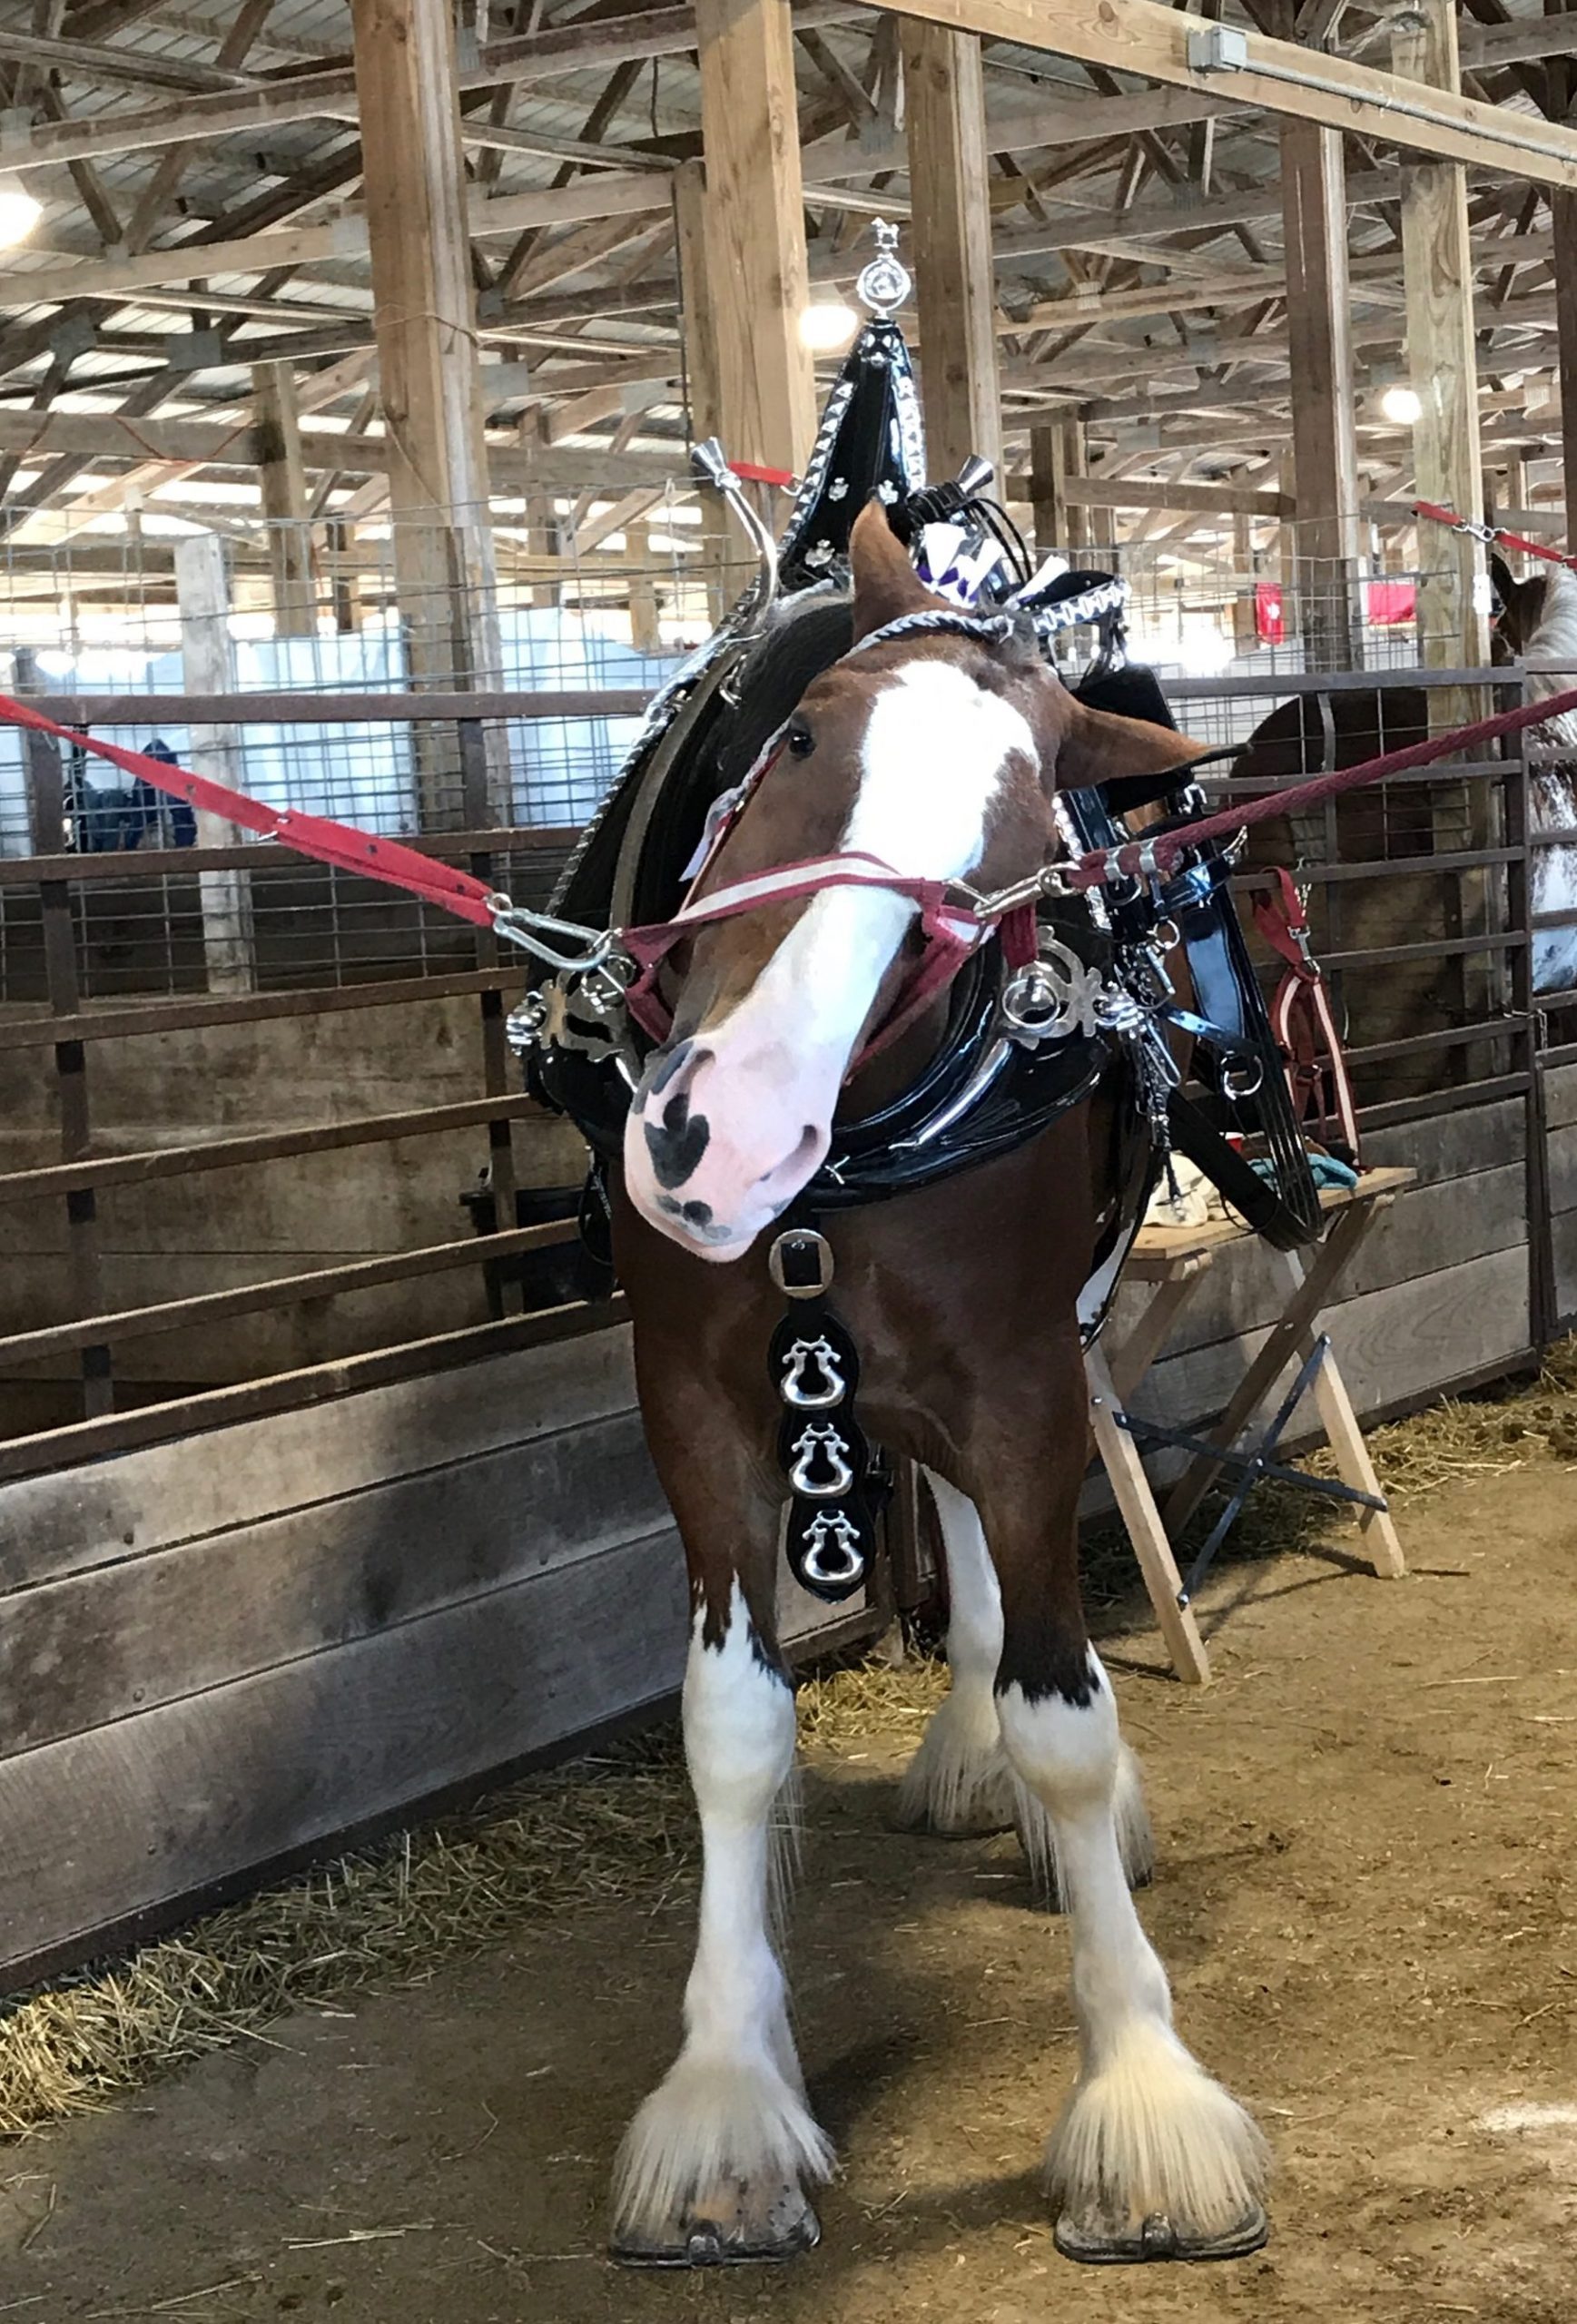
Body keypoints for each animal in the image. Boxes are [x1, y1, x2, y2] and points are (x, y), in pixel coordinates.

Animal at [603, 500, 1270, 2270]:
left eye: (1001, 866)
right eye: (796, 742)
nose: (721, 1132)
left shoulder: (1022, 1378)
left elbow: (1068, 1719)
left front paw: (1143, 2097)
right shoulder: (694, 1401)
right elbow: (729, 1725)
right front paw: (725, 2101)